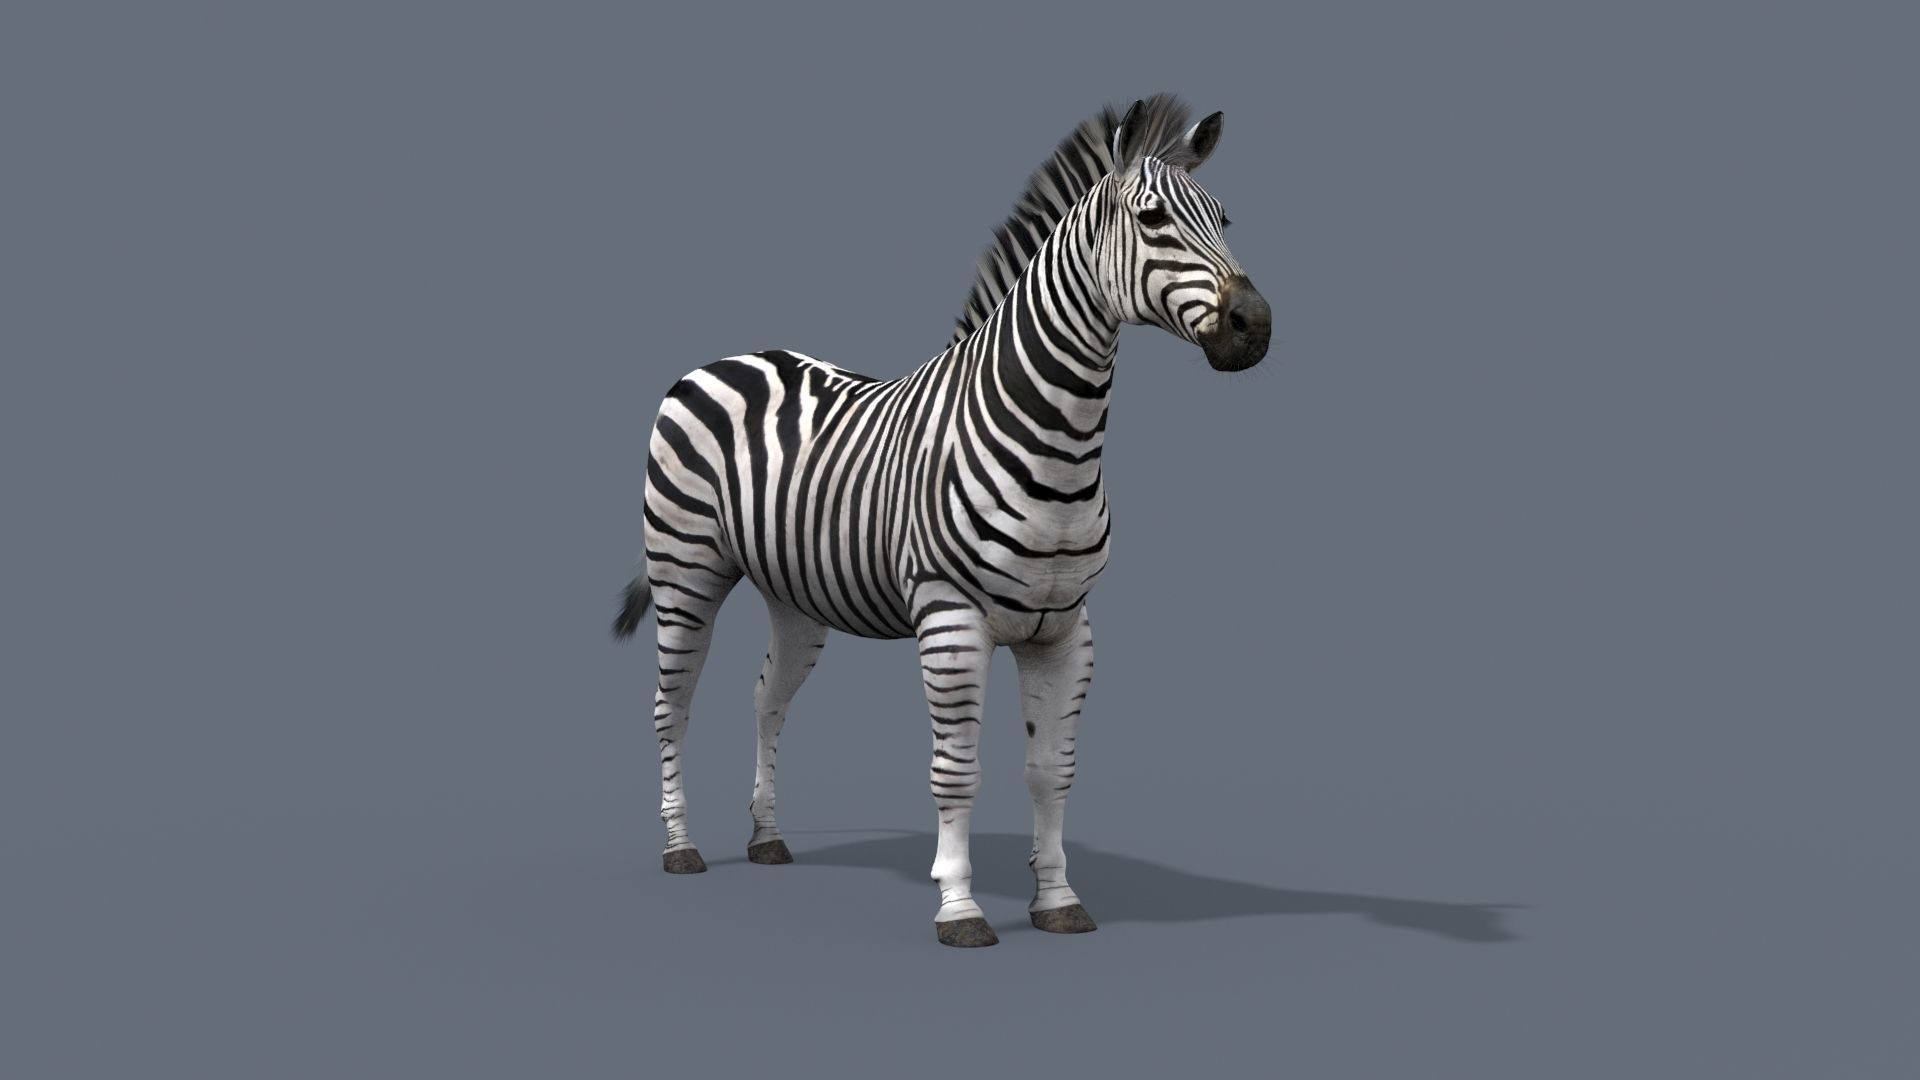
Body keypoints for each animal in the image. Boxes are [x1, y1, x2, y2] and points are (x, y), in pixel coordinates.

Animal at [611, 94, 1271, 947]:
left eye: (1225, 218)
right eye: (1152, 218)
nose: (1256, 325)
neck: (1060, 436)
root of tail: (725, 359)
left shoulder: (1066, 630)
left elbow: (1050, 770)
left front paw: (1058, 900)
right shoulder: (952, 621)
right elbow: (957, 771)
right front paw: (959, 907)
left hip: (795, 594)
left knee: (767, 700)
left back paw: (766, 837)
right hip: (685, 570)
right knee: (673, 705)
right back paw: (681, 847)